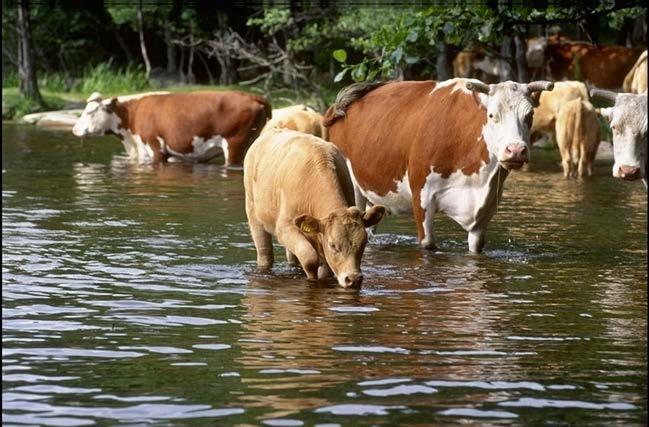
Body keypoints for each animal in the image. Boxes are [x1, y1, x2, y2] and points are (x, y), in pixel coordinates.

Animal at [243, 129, 384, 290]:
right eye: (333, 245)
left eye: (363, 243)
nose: (353, 279)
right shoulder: (285, 227)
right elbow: (309, 257)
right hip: (254, 214)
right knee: (265, 253)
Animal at [322, 77, 552, 254]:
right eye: (492, 115)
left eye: (530, 115)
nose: (516, 150)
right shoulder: (421, 195)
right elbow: (428, 244)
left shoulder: (484, 209)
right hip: (353, 188)